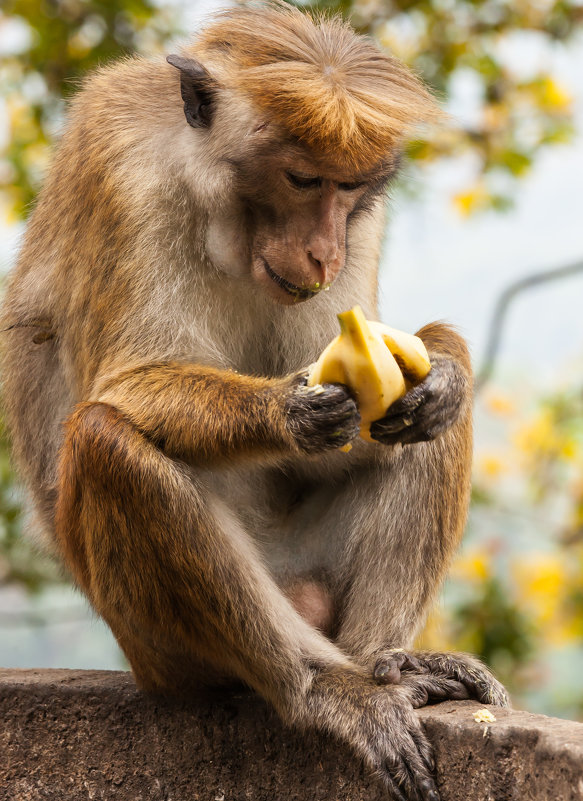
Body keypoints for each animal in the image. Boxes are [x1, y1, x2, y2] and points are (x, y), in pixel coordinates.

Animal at [0, 6, 508, 800]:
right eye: (302, 178)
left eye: (350, 188)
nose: (326, 251)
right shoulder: (125, 177)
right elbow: (126, 382)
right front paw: (289, 413)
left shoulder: (363, 226)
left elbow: (395, 389)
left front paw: (442, 383)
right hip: (160, 651)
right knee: (107, 439)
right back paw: (326, 689)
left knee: (426, 405)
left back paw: (389, 662)